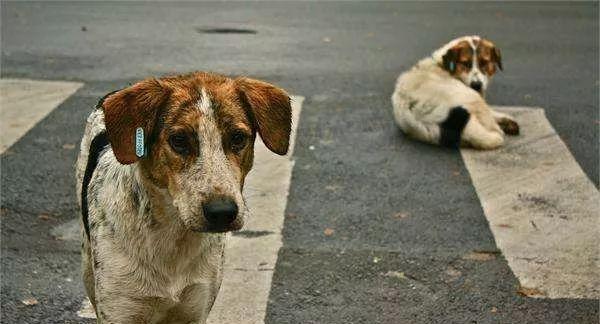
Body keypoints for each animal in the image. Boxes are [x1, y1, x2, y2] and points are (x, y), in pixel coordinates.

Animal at [76, 72, 292, 322]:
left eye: (238, 138)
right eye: (178, 140)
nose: (222, 212)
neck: (173, 235)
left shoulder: (196, 307)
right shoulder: (120, 309)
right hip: (87, 267)